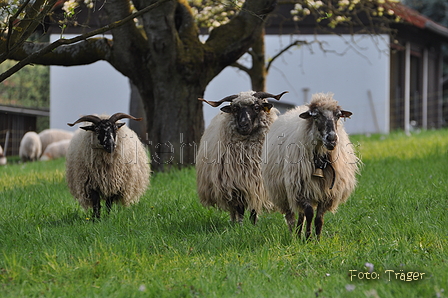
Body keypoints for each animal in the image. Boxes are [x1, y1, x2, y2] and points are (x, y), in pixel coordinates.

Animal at [195, 90, 288, 224]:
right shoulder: (235, 183)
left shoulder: (257, 184)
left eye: (256, 107)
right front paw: (240, 225)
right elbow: (240, 209)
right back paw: (233, 222)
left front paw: (253, 225)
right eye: (235, 109)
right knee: (233, 209)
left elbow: (254, 210)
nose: (244, 125)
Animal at [262, 93, 360, 240]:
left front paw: (318, 239)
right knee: (291, 216)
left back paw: (298, 233)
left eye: (338, 116)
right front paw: (308, 238)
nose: (332, 139)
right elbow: (309, 213)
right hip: (283, 191)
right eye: (315, 116)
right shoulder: (300, 189)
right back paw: (293, 235)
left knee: (300, 214)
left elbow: (319, 218)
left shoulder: (326, 193)